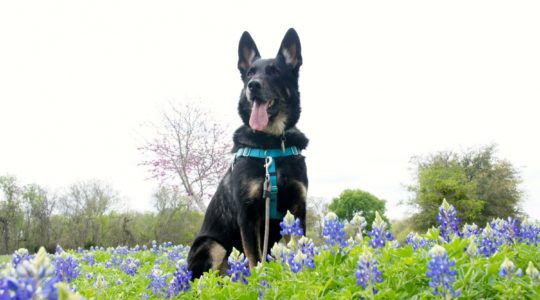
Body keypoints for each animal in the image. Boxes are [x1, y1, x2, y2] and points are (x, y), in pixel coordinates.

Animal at [189, 28, 308, 278]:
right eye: (250, 72)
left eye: (275, 71)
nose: (252, 85)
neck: (272, 143)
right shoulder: (248, 213)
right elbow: (254, 259)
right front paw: (259, 281)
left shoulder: (298, 207)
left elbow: (298, 249)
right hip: (213, 245)